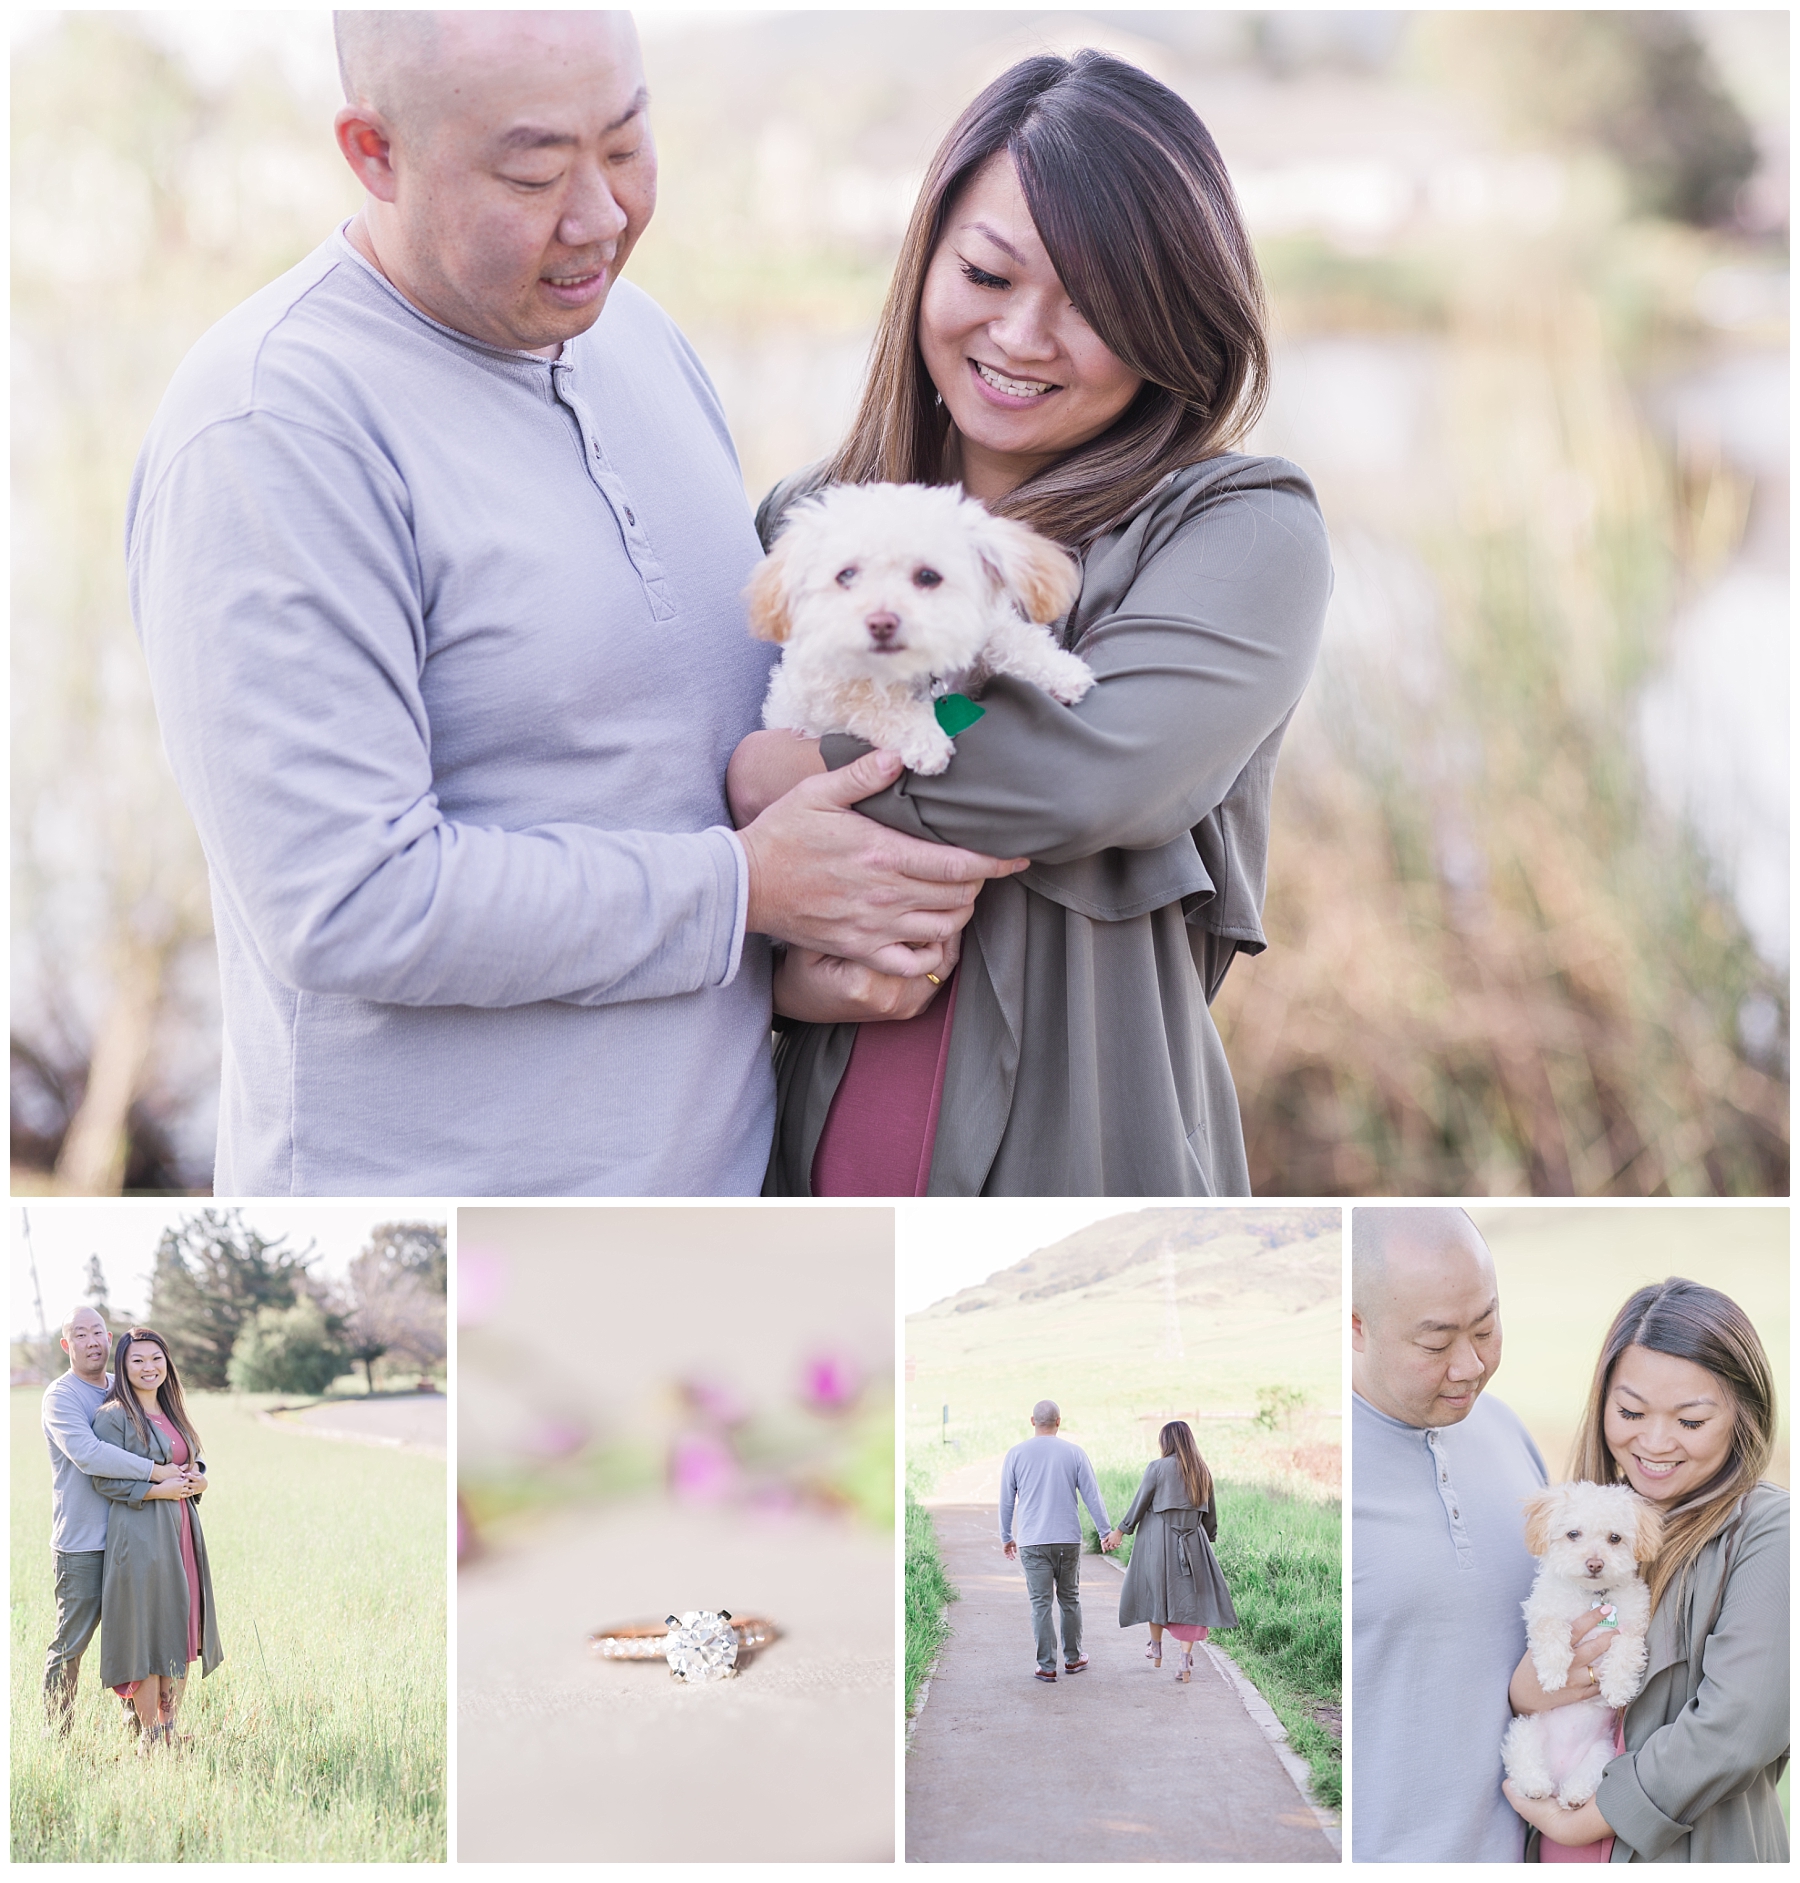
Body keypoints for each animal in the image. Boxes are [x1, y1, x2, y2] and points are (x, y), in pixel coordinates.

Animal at [749, 489, 1099, 783]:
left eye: (928, 576)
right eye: (846, 575)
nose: (881, 623)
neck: (915, 667)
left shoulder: (982, 629)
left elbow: (1011, 639)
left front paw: (1060, 671)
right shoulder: (822, 688)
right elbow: (874, 701)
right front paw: (924, 739)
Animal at [1498, 1483, 1664, 1807]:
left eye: (1615, 1538)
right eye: (1573, 1534)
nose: (1595, 1563)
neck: (1593, 1595)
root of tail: (1558, 1775)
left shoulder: (1634, 1627)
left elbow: (1626, 1649)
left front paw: (1618, 1687)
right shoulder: (1542, 1611)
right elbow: (1551, 1628)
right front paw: (1553, 1673)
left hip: (1602, 1754)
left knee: (1581, 1783)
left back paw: (1572, 1796)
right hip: (1524, 1730)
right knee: (1525, 1765)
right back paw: (1535, 1786)